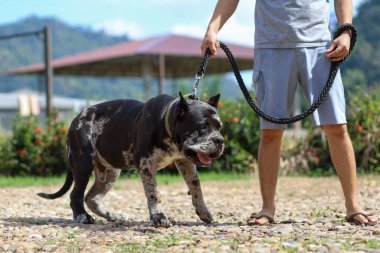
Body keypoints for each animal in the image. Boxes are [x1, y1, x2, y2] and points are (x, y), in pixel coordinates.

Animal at [37, 93, 224, 227]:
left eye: (219, 127)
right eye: (202, 127)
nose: (220, 140)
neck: (165, 120)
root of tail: (75, 119)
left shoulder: (185, 161)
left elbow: (196, 186)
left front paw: (203, 211)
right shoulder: (147, 165)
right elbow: (154, 193)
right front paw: (159, 217)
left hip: (110, 173)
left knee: (92, 198)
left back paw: (113, 215)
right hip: (83, 164)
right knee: (76, 195)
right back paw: (82, 216)